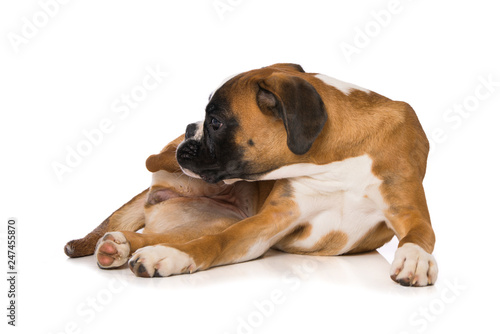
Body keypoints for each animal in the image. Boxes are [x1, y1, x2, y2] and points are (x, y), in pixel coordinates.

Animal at [65, 63, 438, 288]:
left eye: (216, 122)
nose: (188, 128)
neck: (334, 160)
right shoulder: (268, 222)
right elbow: (215, 243)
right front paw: (170, 258)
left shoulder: (409, 212)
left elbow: (419, 234)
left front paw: (415, 258)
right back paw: (126, 246)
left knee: (167, 235)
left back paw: (120, 246)